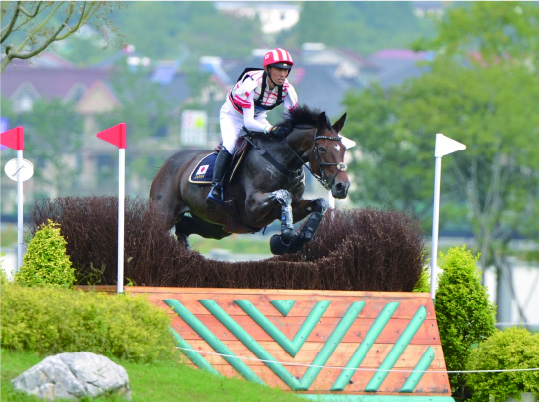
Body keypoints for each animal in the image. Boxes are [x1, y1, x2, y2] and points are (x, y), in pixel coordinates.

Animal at [149, 104, 350, 254]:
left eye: (343, 148)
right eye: (322, 149)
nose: (343, 186)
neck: (282, 160)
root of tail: (168, 164)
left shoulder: (294, 205)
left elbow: (320, 203)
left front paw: (300, 239)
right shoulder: (253, 207)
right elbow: (283, 195)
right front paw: (284, 238)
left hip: (214, 227)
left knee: (183, 226)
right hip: (164, 215)